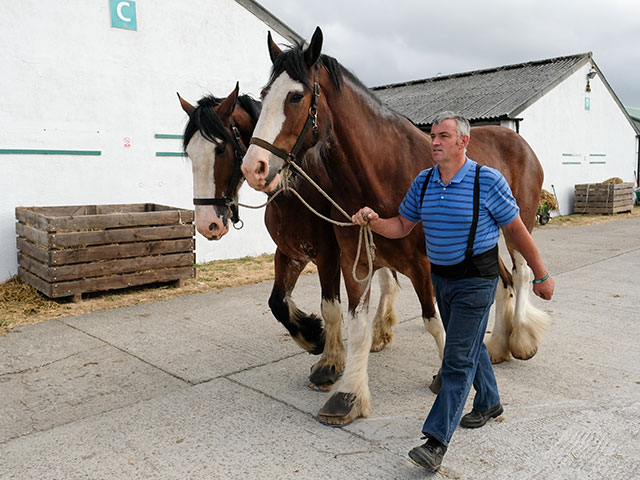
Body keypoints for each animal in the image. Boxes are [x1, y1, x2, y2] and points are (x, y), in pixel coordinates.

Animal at [179, 82, 400, 390]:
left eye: (221, 149)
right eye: (189, 153)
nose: (207, 223)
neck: (295, 189)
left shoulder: (328, 256)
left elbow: (330, 306)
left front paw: (329, 362)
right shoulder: (289, 252)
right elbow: (277, 302)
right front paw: (312, 336)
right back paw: (381, 331)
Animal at [240, 27, 552, 424]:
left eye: (295, 96)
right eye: (265, 95)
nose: (254, 167)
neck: (382, 173)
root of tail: (518, 141)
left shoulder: (424, 264)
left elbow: (434, 321)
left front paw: (444, 377)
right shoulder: (354, 261)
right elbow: (357, 326)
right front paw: (348, 396)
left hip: (517, 227)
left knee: (522, 274)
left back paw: (521, 340)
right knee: (503, 281)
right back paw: (497, 345)